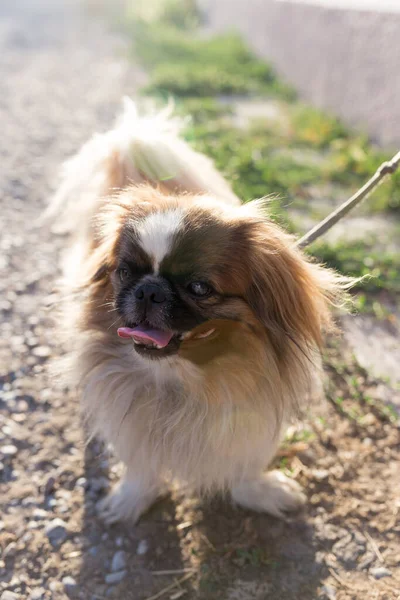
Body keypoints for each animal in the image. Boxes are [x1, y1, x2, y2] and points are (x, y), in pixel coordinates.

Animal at [48, 99, 348, 524]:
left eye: (199, 288)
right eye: (125, 272)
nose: (149, 291)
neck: (184, 379)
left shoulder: (248, 422)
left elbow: (244, 467)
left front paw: (262, 492)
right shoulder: (133, 422)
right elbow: (141, 467)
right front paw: (130, 501)